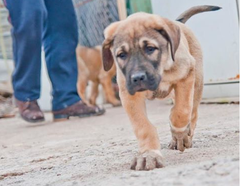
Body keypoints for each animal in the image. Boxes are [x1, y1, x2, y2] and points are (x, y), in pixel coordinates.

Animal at [102, 5, 220, 171]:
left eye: (150, 49)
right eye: (122, 55)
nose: (137, 78)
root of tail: (179, 23)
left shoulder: (186, 75)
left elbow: (181, 111)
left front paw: (179, 132)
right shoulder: (128, 94)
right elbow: (143, 127)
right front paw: (148, 155)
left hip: (197, 82)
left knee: (193, 112)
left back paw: (185, 136)